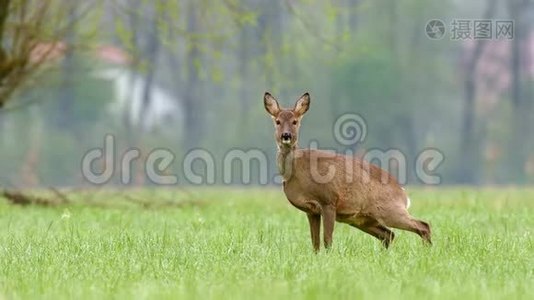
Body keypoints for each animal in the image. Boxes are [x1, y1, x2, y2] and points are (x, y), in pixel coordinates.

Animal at [266, 91, 434, 251]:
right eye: (277, 121)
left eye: (295, 121)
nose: (286, 135)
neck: (297, 172)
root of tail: (402, 192)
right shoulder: (311, 210)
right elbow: (315, 243)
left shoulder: (329, 200)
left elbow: (327, 240)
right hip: (363, 219)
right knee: (389, 234)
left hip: (389, 209)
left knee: (422, 225)